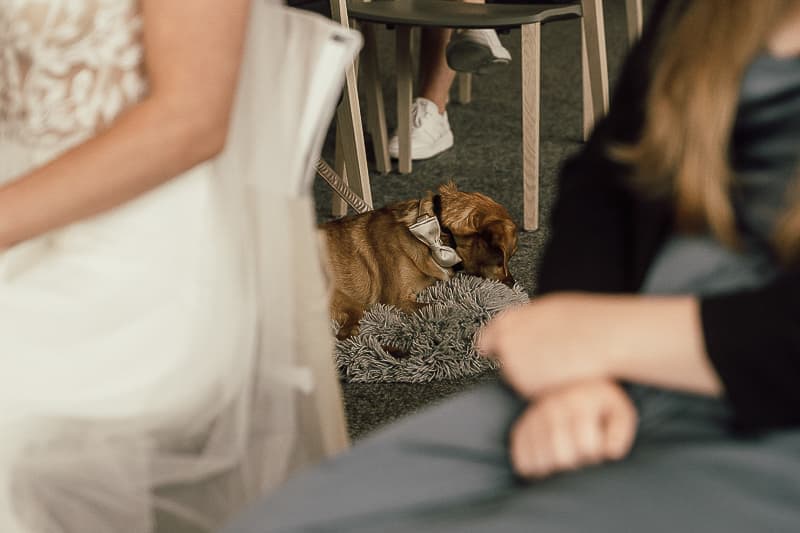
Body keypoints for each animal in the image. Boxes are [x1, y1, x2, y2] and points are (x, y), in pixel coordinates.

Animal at [318, 183, 520, 336]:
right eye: (502, 259)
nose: (513, 284)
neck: (437, 234)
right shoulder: (397, 301)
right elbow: (440, 306)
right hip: (342, 297)